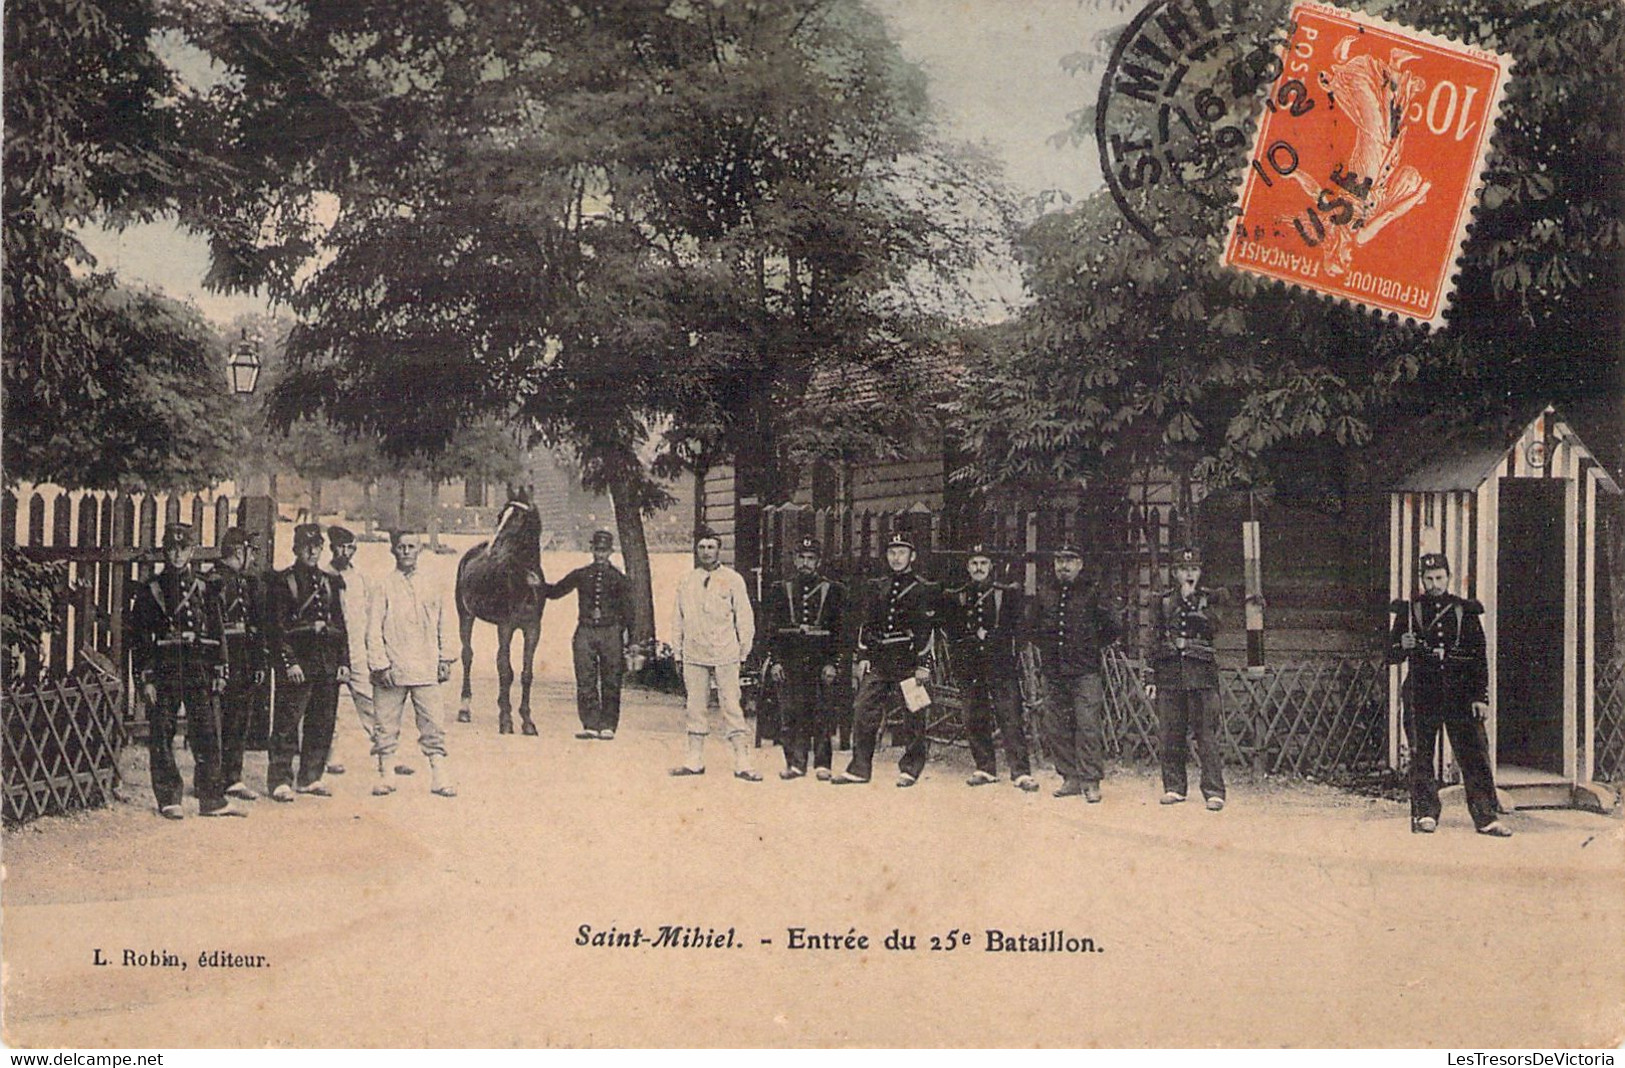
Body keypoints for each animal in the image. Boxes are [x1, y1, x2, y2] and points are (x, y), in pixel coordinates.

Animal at [458, 490, 546, 734]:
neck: (524, 579)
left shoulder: (532, 629)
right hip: (465, 615)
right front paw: (506, 720)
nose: (492, 549)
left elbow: (526, 673)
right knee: (467, 655)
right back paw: (464, 708)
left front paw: (527, 721)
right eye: (500, 516)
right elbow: (507, 671)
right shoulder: (506, 626)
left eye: (519, 517)